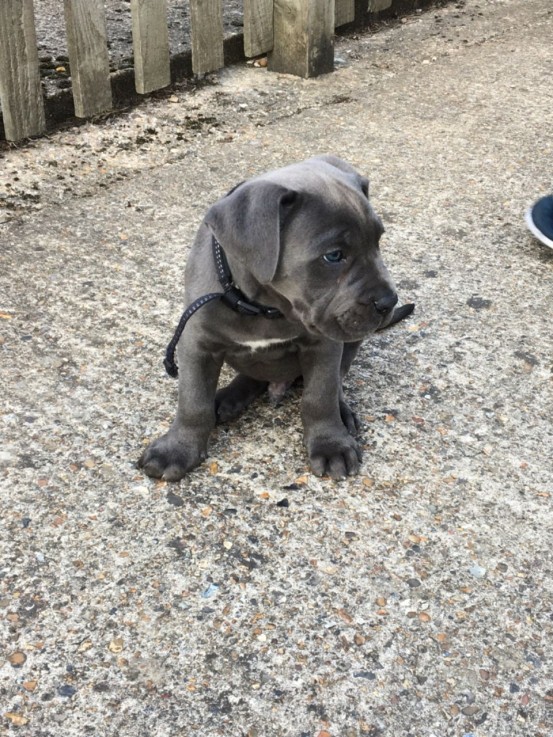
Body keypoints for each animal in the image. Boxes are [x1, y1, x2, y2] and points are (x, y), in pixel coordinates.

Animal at [140, 154, 412, 484]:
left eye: (378, 241)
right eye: (333, 256)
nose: (388, 301)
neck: (264, 306)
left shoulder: (324, 345)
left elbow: (320, 395)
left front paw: (331, 444)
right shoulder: (196, 344)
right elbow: (193, 402)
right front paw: (177, 449)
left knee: (337, 379)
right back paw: (227, 399)